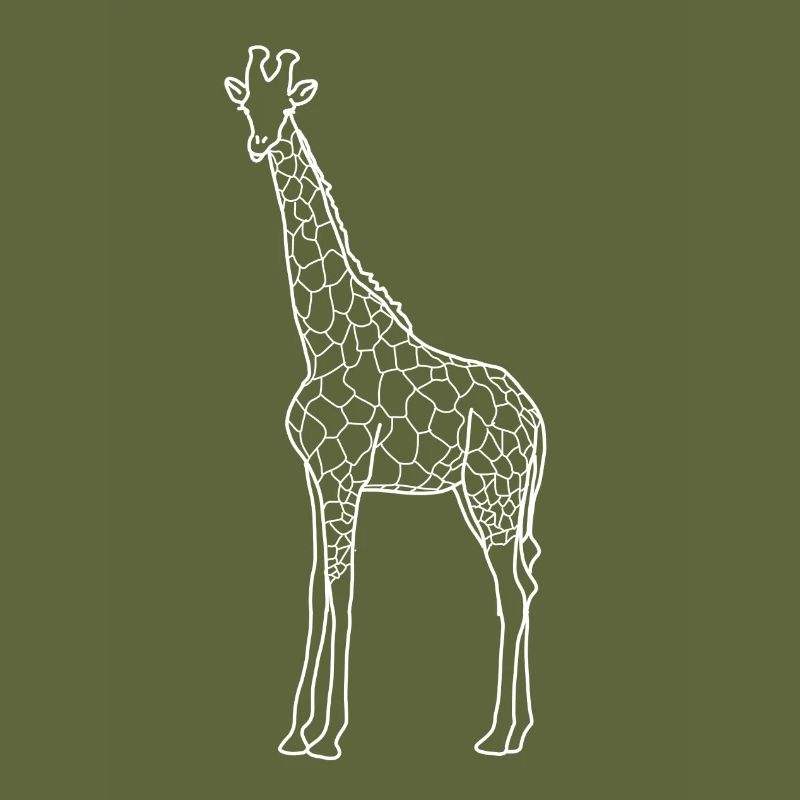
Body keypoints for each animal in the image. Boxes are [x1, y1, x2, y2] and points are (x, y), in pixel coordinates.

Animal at [224, 46, 546, 760]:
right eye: (247, 104)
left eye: (285, 106)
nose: (260, 143)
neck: (322, 339)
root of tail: (537, 421)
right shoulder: (317, 476)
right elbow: (317, 589)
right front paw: (296, 733)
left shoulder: (344, 475)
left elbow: (342, 592)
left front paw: (327, 736)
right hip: (487, 497)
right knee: (525, 583)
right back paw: (513, 730)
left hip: (493, 493)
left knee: (512, 592)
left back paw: (500, 736)